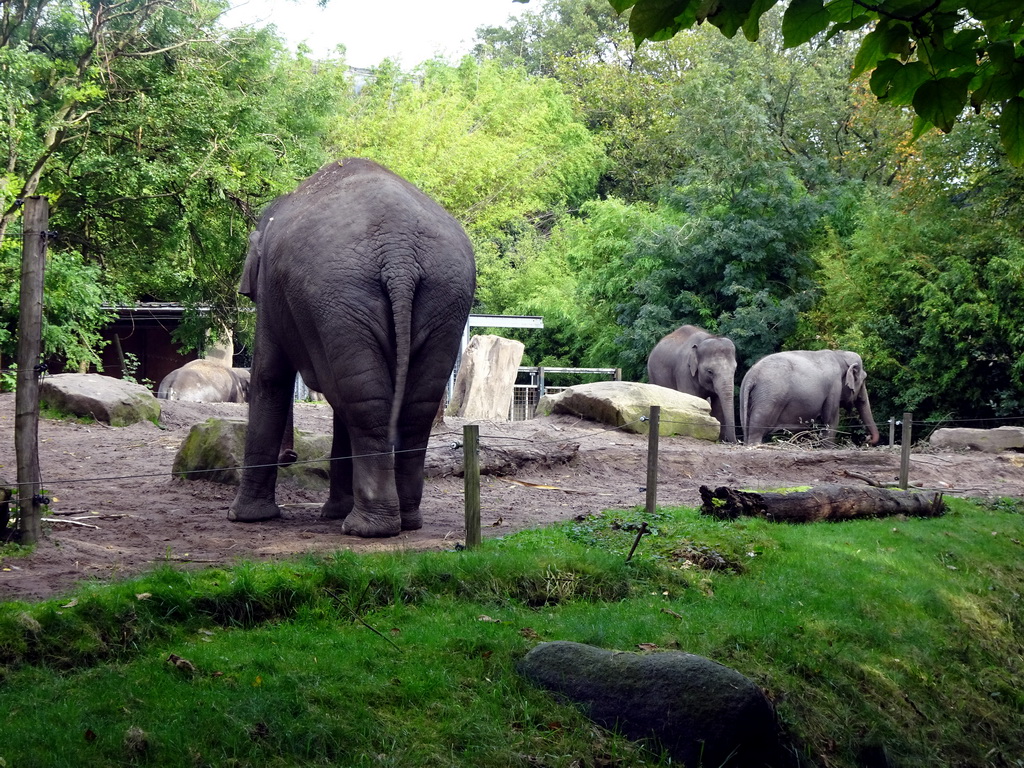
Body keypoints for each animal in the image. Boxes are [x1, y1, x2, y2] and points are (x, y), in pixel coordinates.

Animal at [228, 159, 475, 536]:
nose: (291, 457)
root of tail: (399, 252)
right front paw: (331, 512)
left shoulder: (271, 297)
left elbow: (270, 377)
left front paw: (244, 517)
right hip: (442, 296)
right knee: (406, 406)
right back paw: (405, 521)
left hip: (342, 295)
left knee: (364, 405)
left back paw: (365, 528)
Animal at [741, 350, 884, 448]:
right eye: (863, 379)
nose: (867, 438)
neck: (840, 354)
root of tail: (751, 375)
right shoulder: (834, 386)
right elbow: (831, 420)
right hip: (768, 398)